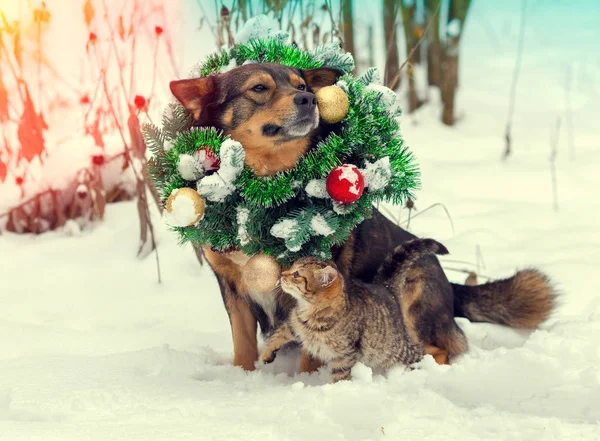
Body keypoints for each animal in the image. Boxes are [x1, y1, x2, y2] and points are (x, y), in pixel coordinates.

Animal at [260, 239, 448, 380]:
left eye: (297, 274)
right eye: (291, 267)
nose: (281, 275)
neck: (309, 311)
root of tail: (385, 288)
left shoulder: (345, 355)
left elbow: (340, 376)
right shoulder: (294, 324)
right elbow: (278, 335)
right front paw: (266, 354)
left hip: (394, 350)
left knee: (423, 352)